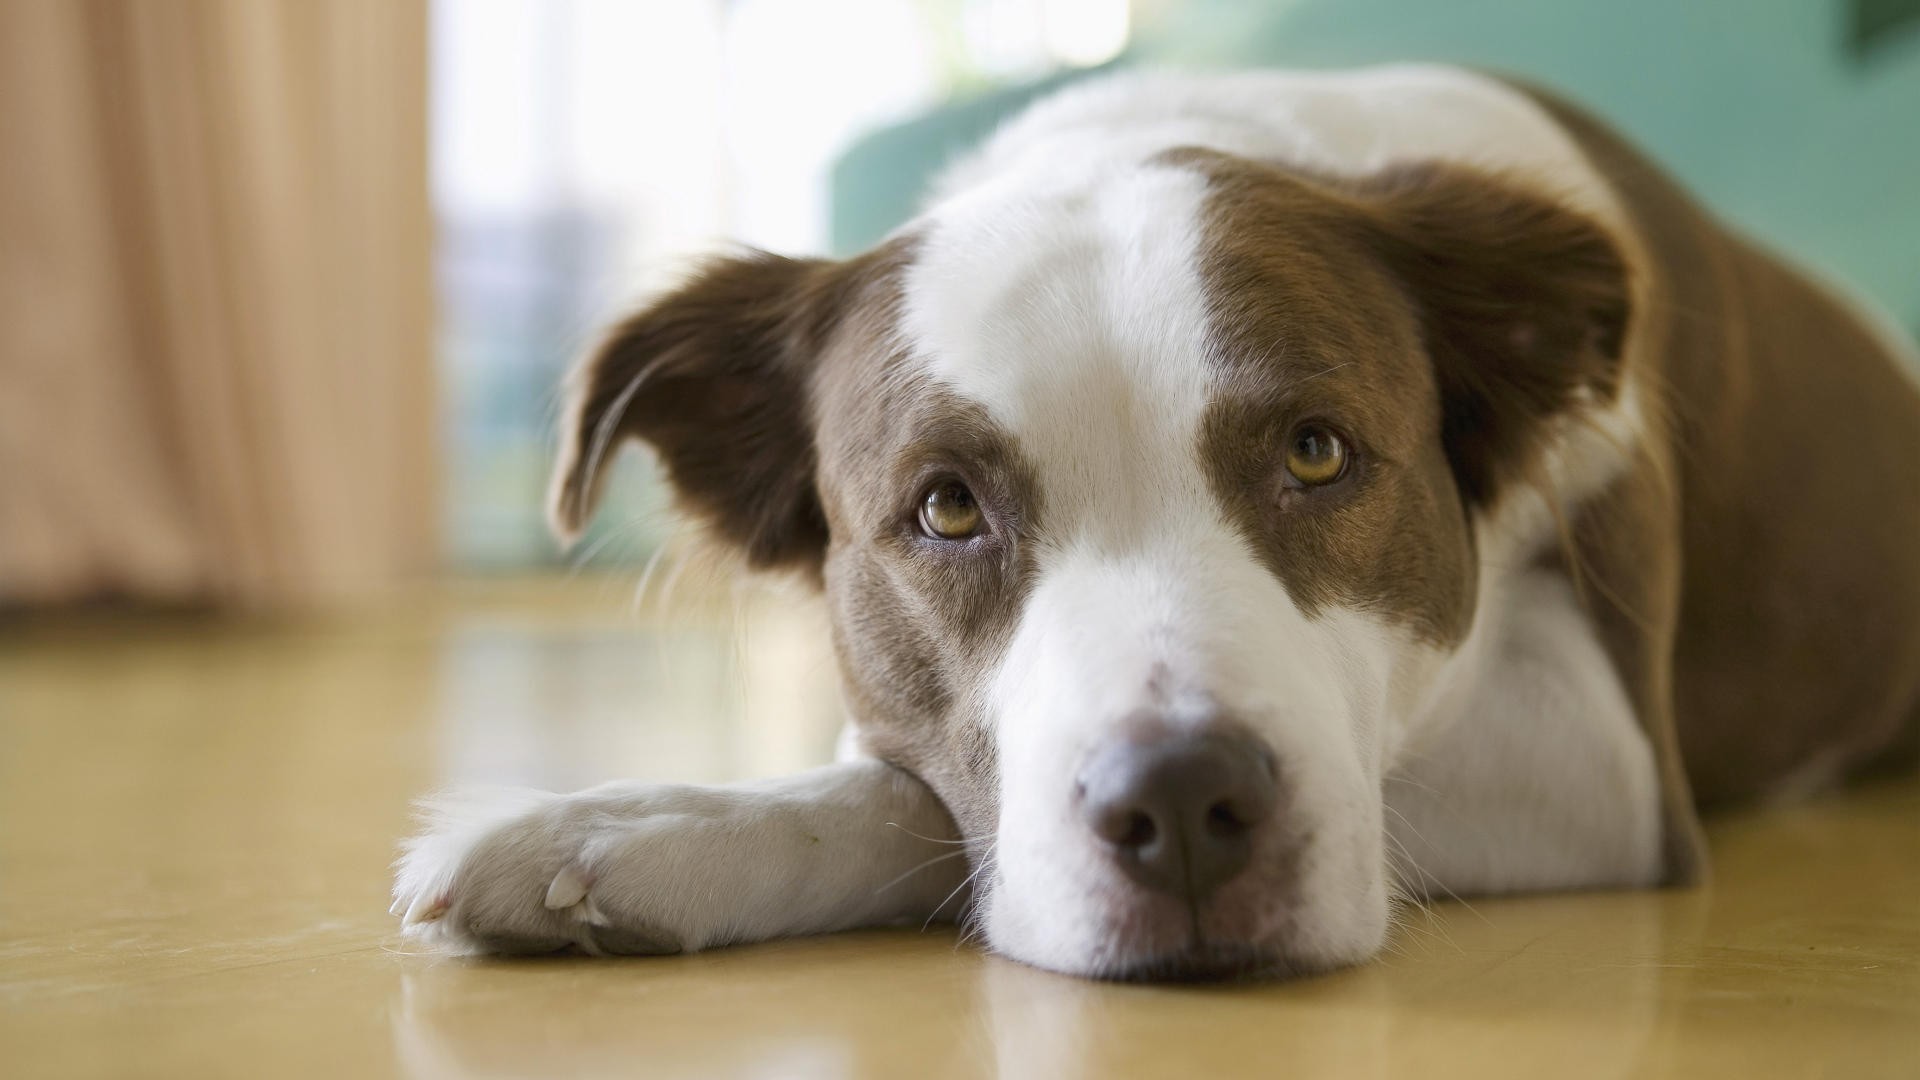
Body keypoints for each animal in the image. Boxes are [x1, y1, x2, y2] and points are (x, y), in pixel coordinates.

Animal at [393, 65, 1920, 976]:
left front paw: (632, 834)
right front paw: (634, 823)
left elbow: (922, 807)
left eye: (1317, 453)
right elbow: (923, 783)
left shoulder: (1612, 763)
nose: (1185, 805)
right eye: (945, 507)